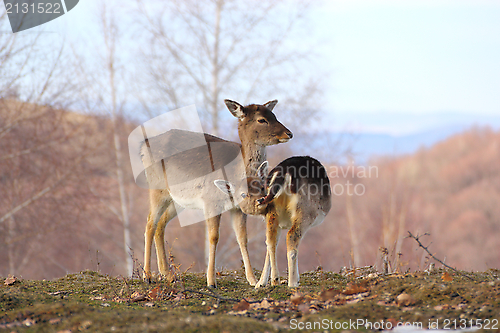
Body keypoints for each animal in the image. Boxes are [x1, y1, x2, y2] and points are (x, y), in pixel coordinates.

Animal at [141, 100, 292, 286]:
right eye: (262, 120)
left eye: (274, 115)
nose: (289, 133)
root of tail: (143, 147)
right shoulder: (211, 200)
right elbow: (213, 237)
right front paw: (211, 281)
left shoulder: (237, 208)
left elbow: (242, 238)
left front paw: (252, 279)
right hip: (157, 187)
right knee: (150, 223)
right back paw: (147, 275)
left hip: (177, 200)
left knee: (161, 224)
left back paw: (167, 274)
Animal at [216, 155, 330, 286]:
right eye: (243, 195)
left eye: (261, 187)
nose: (259, 200)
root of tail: (284, 172)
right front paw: (296, 279)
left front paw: (263, 282)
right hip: (305, 212)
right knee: (291, 237)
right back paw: (292, 283)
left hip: (273, 210)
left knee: (270, 240)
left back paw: (269, 281)